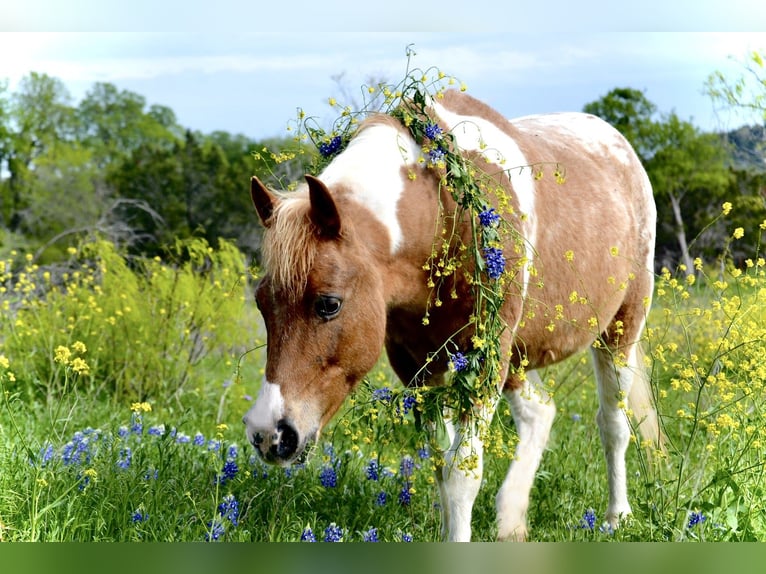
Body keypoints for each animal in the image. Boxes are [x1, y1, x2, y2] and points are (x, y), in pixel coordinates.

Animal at [244, 88, 660, 544]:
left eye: (329, 303)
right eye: (262, 303)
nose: (269, 434)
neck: (444, 216)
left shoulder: (482, 363)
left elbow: (463, 474)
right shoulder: (421, 368)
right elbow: (443, 466)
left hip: (618, 331)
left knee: (613, 425)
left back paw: (616, 516)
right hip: (514, 358)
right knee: (540, 413)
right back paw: (511, 520)